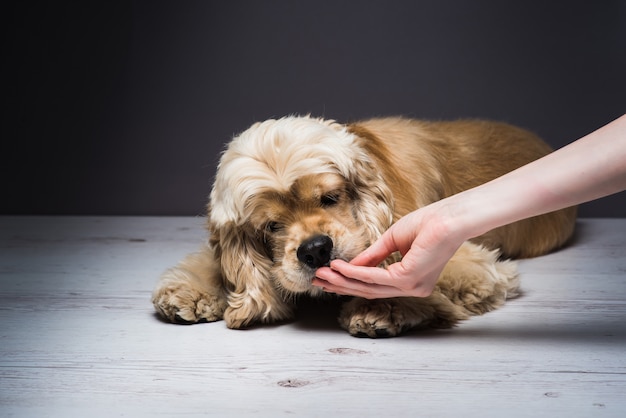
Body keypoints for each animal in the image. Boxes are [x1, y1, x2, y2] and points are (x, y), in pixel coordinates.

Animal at [152, 116, 576, 338]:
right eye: (271, 225)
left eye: (330, 197)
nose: (315, 249)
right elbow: (215, 264)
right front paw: (190, 290)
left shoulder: (473, 261)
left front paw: (383, 307)